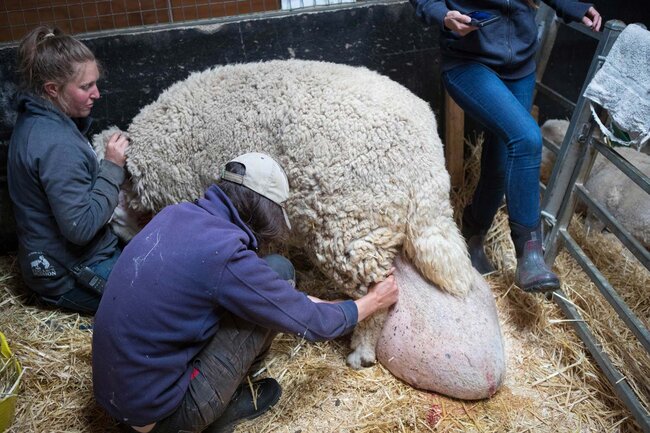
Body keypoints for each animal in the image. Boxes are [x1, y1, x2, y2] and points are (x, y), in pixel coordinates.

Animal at [93, 58, 504, 398]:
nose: (121, 243)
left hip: (352, 226)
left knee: (377, 291)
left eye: (113, 203)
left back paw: (361, 352)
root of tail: (426, 156)